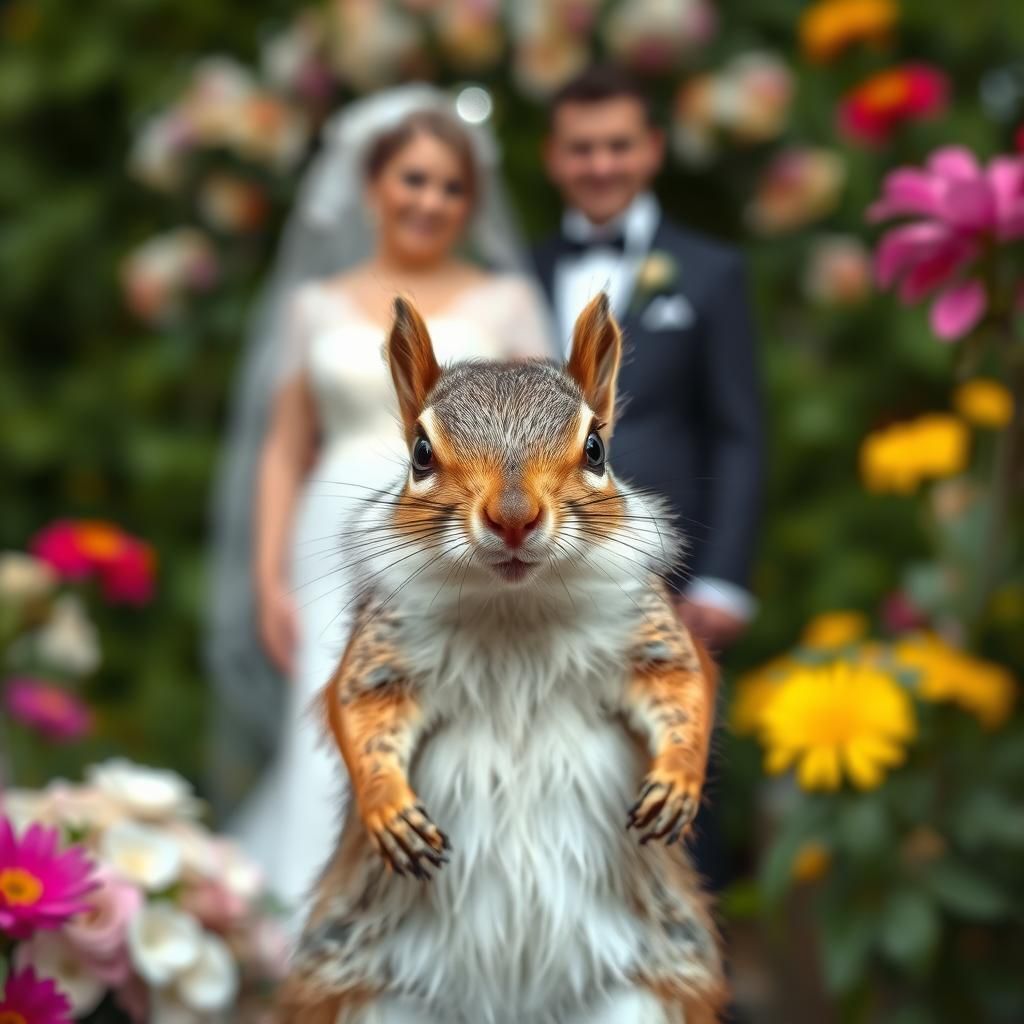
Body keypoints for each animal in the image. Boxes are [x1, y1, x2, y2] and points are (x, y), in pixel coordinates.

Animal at [276, 293, 725, 1024]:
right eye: (420, 453)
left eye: (597, 447)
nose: (513, 517)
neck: (513, 608)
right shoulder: (383, 651)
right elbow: (359, 711)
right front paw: (388, 809)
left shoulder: (647, 633)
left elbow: (686, 685)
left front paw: (677, 781)